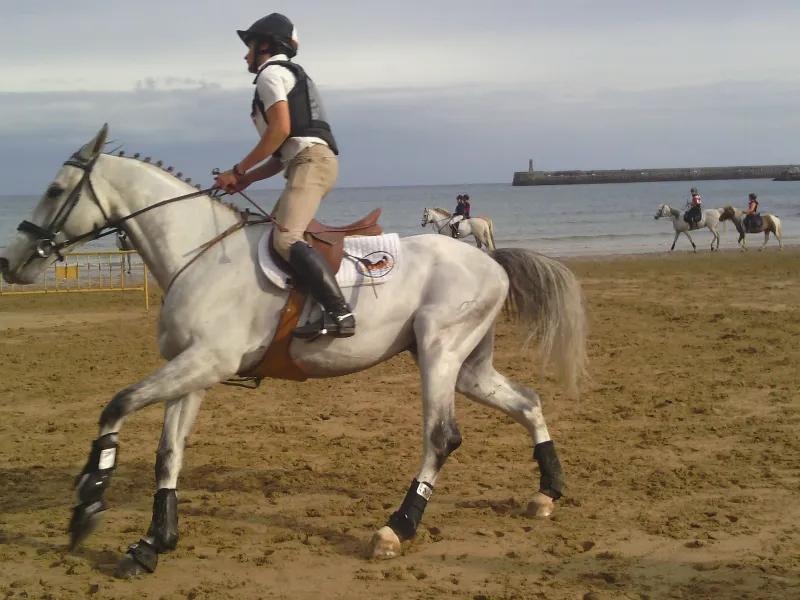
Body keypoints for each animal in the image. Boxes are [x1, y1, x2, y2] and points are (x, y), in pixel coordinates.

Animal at [0, 124, 588, 579]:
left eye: (53, 189)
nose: (11, 262)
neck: (199, 253)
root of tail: (489, 260)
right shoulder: (192, 371)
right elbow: (169, 453)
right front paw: (152, 544)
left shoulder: (205, 362)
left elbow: (117, 405)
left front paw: (87, 505)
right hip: (465, 365)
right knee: (527, 401)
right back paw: (548, 491)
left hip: (441, 352)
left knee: (441, 437)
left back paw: (396, 529)